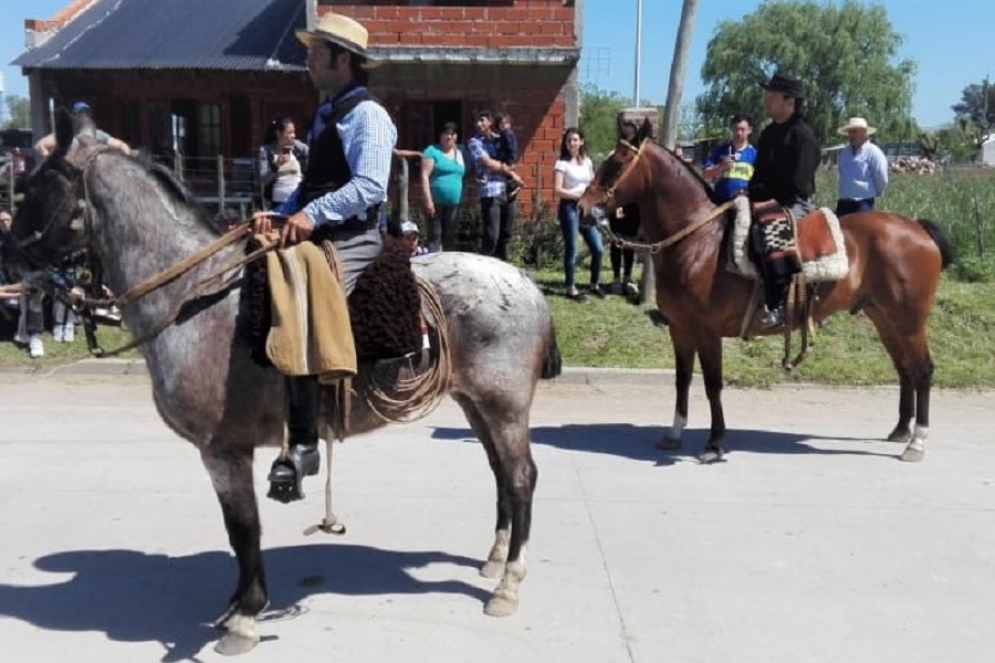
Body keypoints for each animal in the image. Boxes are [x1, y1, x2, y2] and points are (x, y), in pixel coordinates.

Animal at [7, 109, 564, 652]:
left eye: (36, 184)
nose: (11, 254)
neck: (194, 297)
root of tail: (526, 285)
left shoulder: (223, 449)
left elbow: (243, 528)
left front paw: (246, 616)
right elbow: (238, 532)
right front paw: (235, 604)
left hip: (504, 406)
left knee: (521, 478)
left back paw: (508, 585)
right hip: (477, 404)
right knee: (501, 475)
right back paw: (495, 558)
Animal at [580, 126, 952, 466]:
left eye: (616, 162)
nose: (583, 208)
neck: (700, 241)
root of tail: (917, 228)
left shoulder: (706, 330)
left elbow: (712, 383)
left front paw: (714, 444)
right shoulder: (680, 328)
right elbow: (682, 380)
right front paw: (673, 434)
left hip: (909, 321)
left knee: (923, 370)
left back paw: (916, 443)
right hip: (884, 318)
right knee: (904, 368)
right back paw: (901, 430)